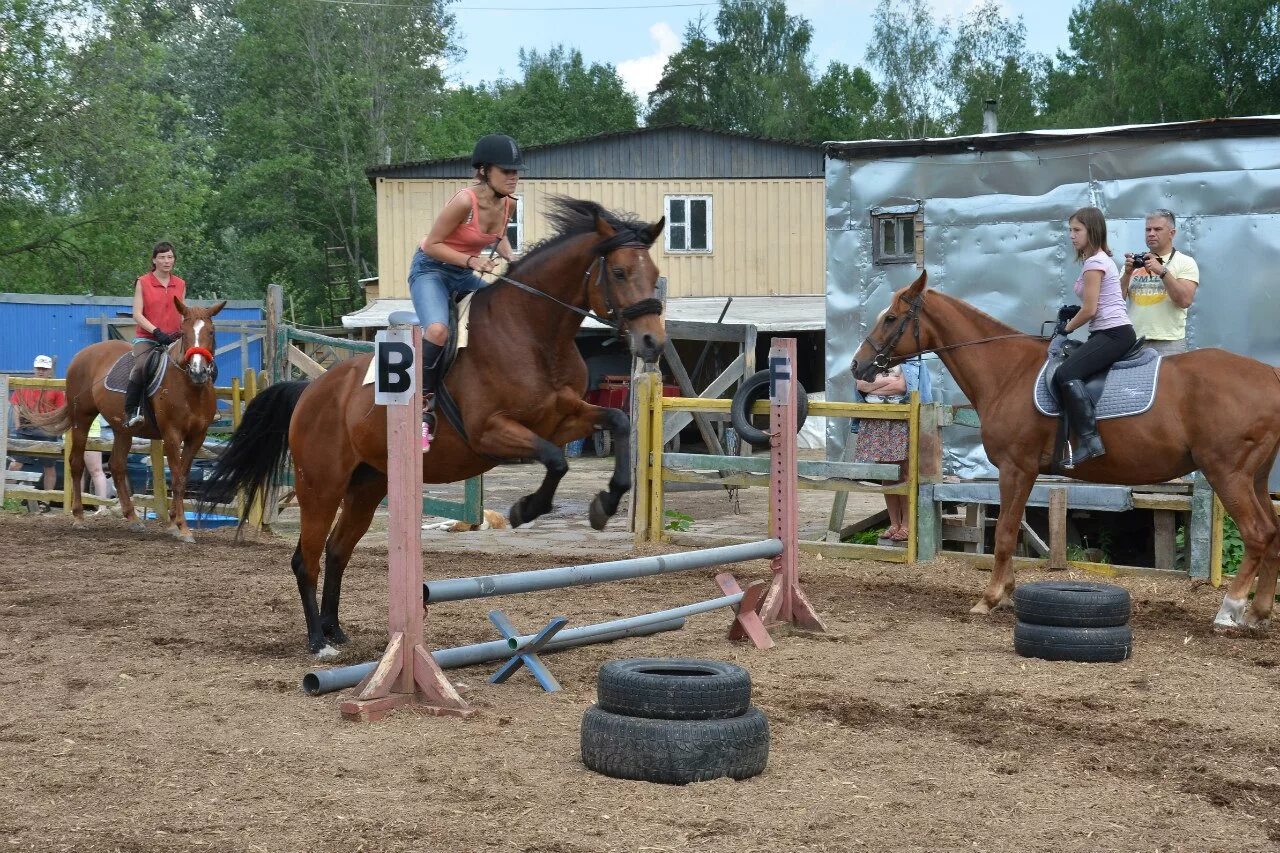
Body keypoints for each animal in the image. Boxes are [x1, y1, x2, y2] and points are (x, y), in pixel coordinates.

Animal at [24, 295, 227, 540]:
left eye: (211, 332)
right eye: (184, 333)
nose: (198, 371)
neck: (190, 389)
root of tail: (84, 354)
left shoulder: (197, 436)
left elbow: (184, 477)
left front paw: (173, 523)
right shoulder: (172, 434)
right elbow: (178, 479)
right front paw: (182, 528)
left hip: (122, 428)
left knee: (117, 466)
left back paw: (132, 518)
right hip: (82, 418)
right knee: (76, 463)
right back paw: (79, 517)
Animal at [204, 197, 665, 650]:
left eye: (656, 274)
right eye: (620, 272)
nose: (653, 343)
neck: (533, 333)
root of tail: (311, 390)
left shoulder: (562, 418)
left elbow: (617, 422)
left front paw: (606, 503)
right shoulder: (490, 432)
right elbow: (556, 460)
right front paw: (526, 508)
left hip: (367, 485)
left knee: (337, 551)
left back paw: (336, 629)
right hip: (321, 486)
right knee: (307, 557)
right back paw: (318, 639)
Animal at [849, 268, 1280, 627]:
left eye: (891, 318)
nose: (858, 366)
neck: (1008, 371)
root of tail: (1270, 374)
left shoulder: (1016, 467)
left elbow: (1004, 533)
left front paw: (991, 598)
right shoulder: (1023, 472)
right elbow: (1009, 530)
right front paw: (1007, 593)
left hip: (1227, 473)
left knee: (1258, 534)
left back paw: (1230, 609)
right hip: (1254, 477)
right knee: (1274, 532)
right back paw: (1258, 612)